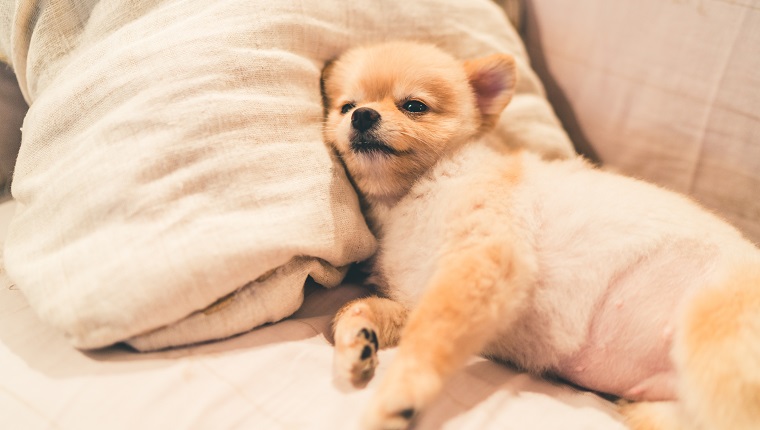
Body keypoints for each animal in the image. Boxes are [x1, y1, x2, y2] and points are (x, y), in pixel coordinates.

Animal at [320, 41, 760, 430]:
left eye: (413, 106)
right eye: (346, 106)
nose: (362, 116)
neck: (411, 197)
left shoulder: (483, 263)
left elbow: (428, 339)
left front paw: (398, 394)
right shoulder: (422, 292)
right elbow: (358, 309)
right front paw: (357, 340)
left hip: (713, 341)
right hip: (660, 409)